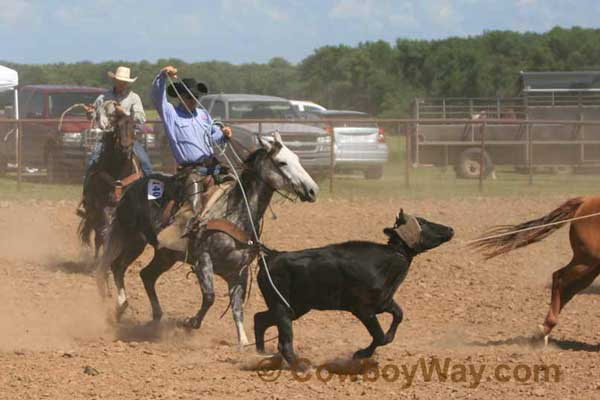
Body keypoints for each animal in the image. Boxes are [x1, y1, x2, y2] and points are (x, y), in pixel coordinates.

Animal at [76, 103, 143, 260]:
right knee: (98, 237)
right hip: (93, 212)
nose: (125, 148)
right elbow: (105, 233)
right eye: (117, 126)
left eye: (134, 126)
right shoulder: (103, 205)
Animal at [253, 209, 454, 366]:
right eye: (423, 222)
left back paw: (261, 354)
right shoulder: (363, 309)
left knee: (260, 319)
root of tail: (271, 256)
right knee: (283, 342)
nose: (450, 229)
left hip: (296, 307)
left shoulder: (384, 303)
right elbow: (380, 336)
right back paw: (300, 367)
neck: (385, 261)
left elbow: (397, 317)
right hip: (282, 306)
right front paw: (361, 354)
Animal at [472, 197, 600, 344]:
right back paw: (545, 328)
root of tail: (586, 200)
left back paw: (543, 331)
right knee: (560, 278)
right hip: (586, 261)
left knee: (570, 288)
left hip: (591, 265)